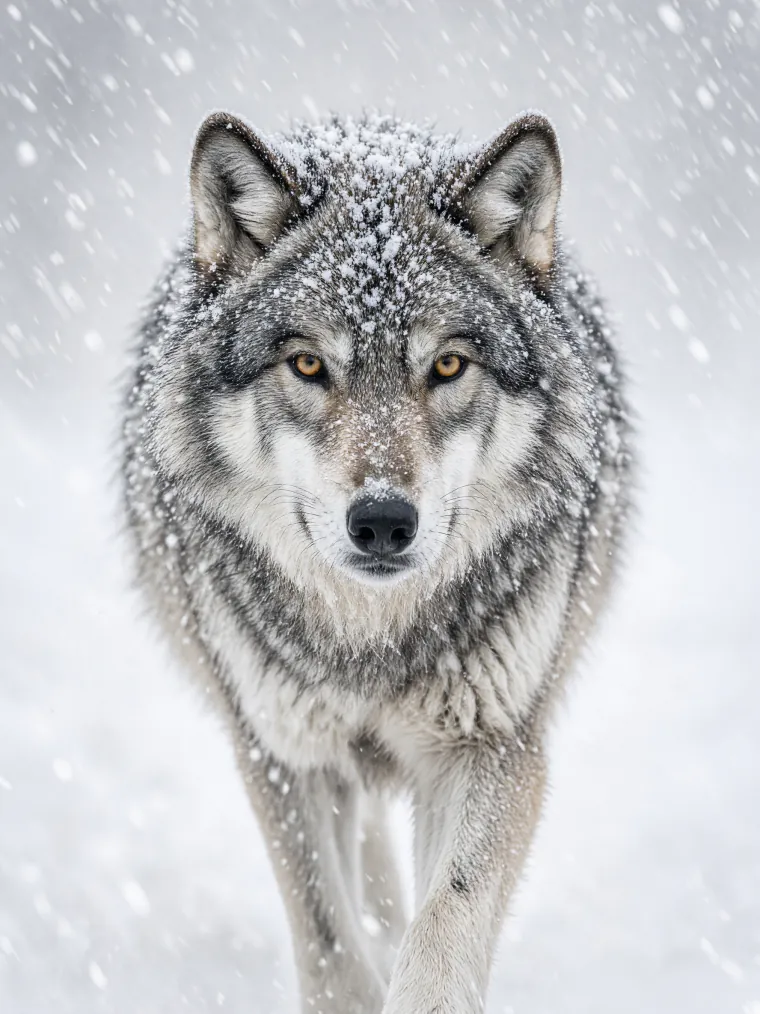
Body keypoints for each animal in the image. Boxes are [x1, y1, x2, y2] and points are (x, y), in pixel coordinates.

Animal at [122, 109, 631, 1014]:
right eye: (308, 364)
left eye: (448, 365)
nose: (385, 523)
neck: (372, 638)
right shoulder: (281, 751)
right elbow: (328, 937)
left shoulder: (493, 744)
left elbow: (445, 921)